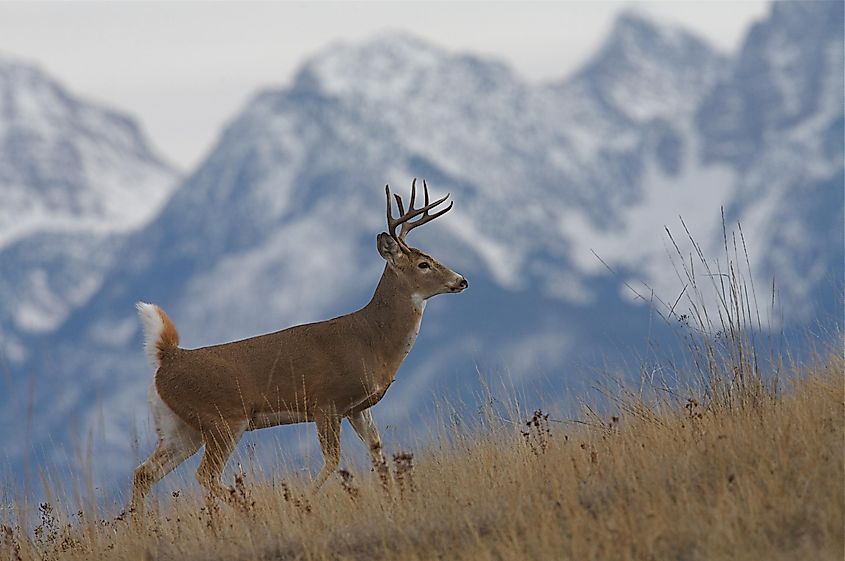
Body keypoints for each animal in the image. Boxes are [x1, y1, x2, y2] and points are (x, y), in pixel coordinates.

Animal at [130, 180, 468, 512]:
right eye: (423, 264)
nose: (461, 280)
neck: (372, 341)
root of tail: (168, 357)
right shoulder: (326, 401)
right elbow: (332, 460)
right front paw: (302, 499)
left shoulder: (357, 407)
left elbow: (377, 451)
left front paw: (393, 500)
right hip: (224, 420)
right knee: (205, 475)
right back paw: (250, 508)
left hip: (181, 429)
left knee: (143, 473)